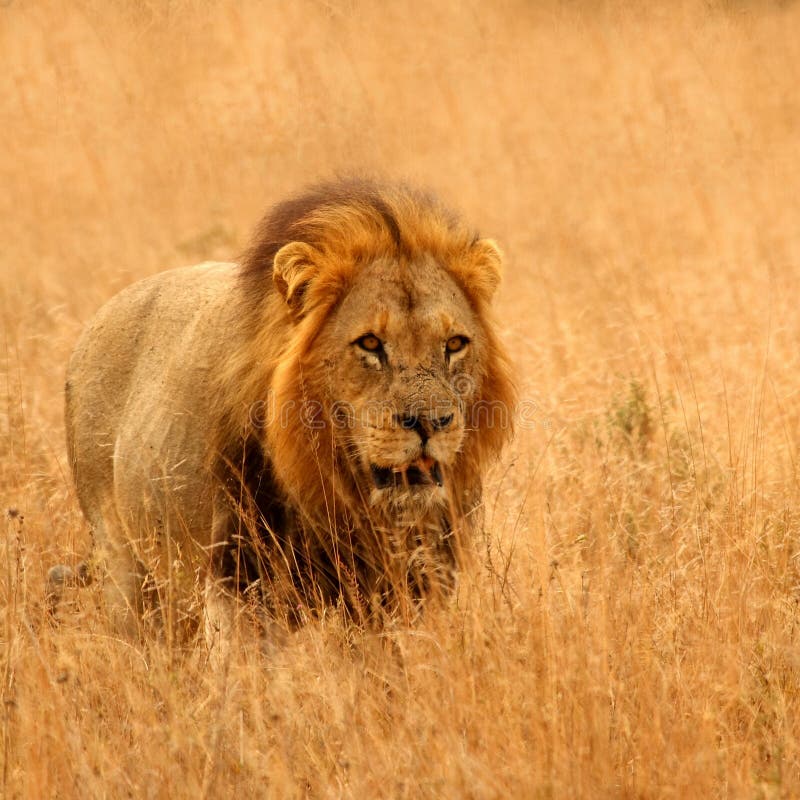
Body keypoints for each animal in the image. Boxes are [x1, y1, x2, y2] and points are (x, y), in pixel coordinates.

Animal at [47, 177, 516, 648]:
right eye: (369, 343)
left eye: (454, 344)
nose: (429, 424)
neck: (340, 490)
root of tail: (100, 316)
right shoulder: (238, 581)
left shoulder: (413, 584)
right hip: (124, 567)